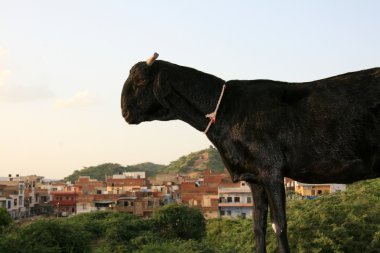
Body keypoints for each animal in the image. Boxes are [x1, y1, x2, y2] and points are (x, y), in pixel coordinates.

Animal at [119, 52, 380, 252]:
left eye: (140, 80)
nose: (125, 112)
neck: (225, 108)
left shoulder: (271, 170)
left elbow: (279, 226)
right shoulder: (253, 177)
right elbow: (258, 226)